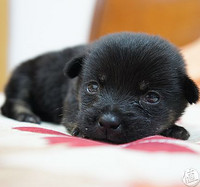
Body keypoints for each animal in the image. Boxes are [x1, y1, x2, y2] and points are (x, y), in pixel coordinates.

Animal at [1, 32, 198, 143]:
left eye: (151, 97)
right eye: (93, 87)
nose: (108, 123)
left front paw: (173, 129)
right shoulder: (72, 97)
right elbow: (74, 114)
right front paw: (81, 129)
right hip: (23, 80)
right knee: (12, 102)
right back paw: (26, 114)